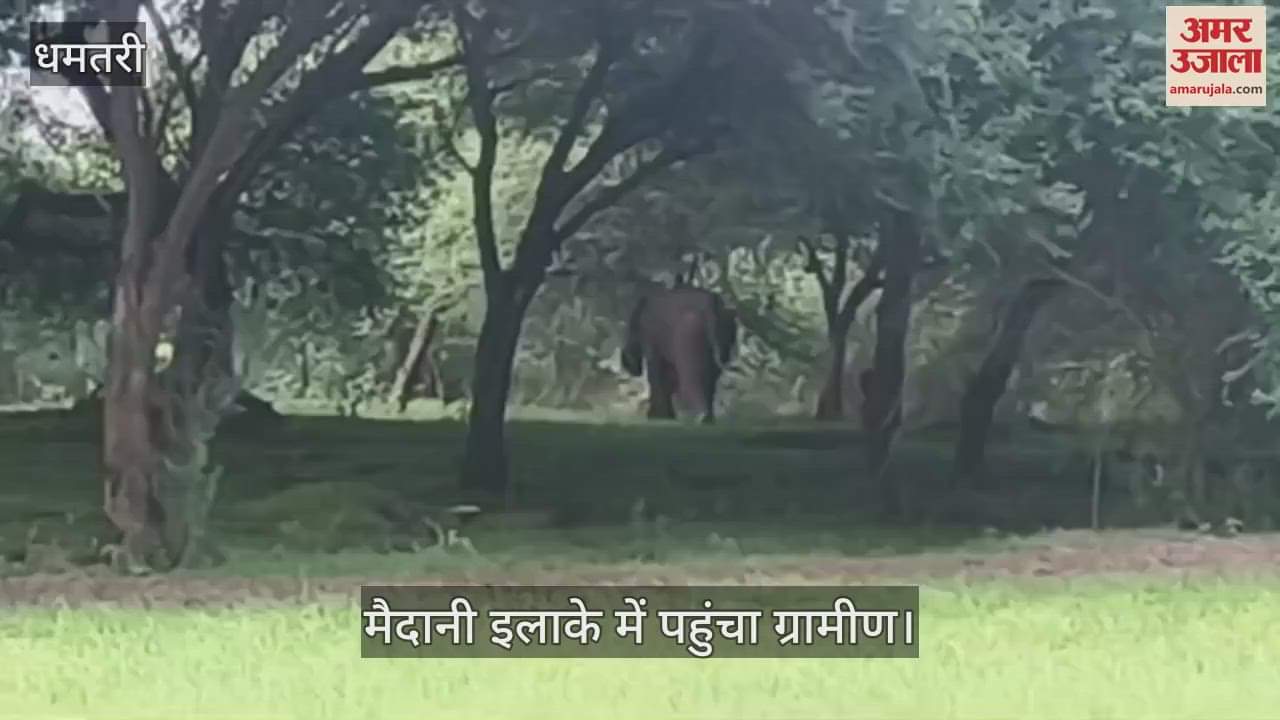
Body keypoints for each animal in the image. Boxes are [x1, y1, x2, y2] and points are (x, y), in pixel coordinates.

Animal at [621, 287, 738, 423]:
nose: (630, 368)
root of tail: (712, 305)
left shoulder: (651, 340)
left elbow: (657, 375)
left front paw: (658, 416)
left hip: (688, 334)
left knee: (690, 376)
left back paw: (700, 417)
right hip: (720, 338)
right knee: (710, 376)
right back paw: (708, 418)